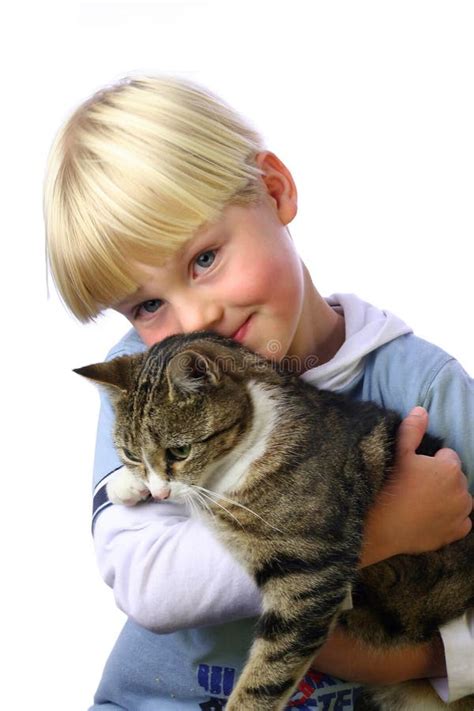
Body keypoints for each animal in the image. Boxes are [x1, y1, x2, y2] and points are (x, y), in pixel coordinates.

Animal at [77, 334, 474, 711]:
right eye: (131, 454)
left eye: (180, 451)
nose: (160, 493)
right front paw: (126, 484)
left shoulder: (312, 570)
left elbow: (267, 674)